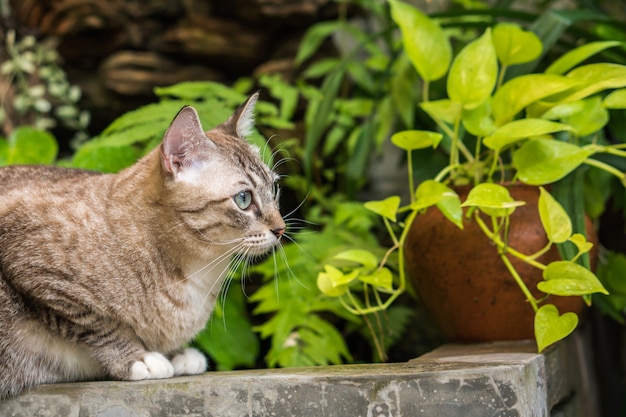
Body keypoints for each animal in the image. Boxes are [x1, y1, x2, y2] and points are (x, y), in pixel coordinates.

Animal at [0, 92, 286, 398]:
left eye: (274, 189)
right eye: (244, 199)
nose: (281, 229)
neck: (201, 273)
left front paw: (176, 354)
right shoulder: (40, 277)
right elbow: (97, 324)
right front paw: (139, 359)